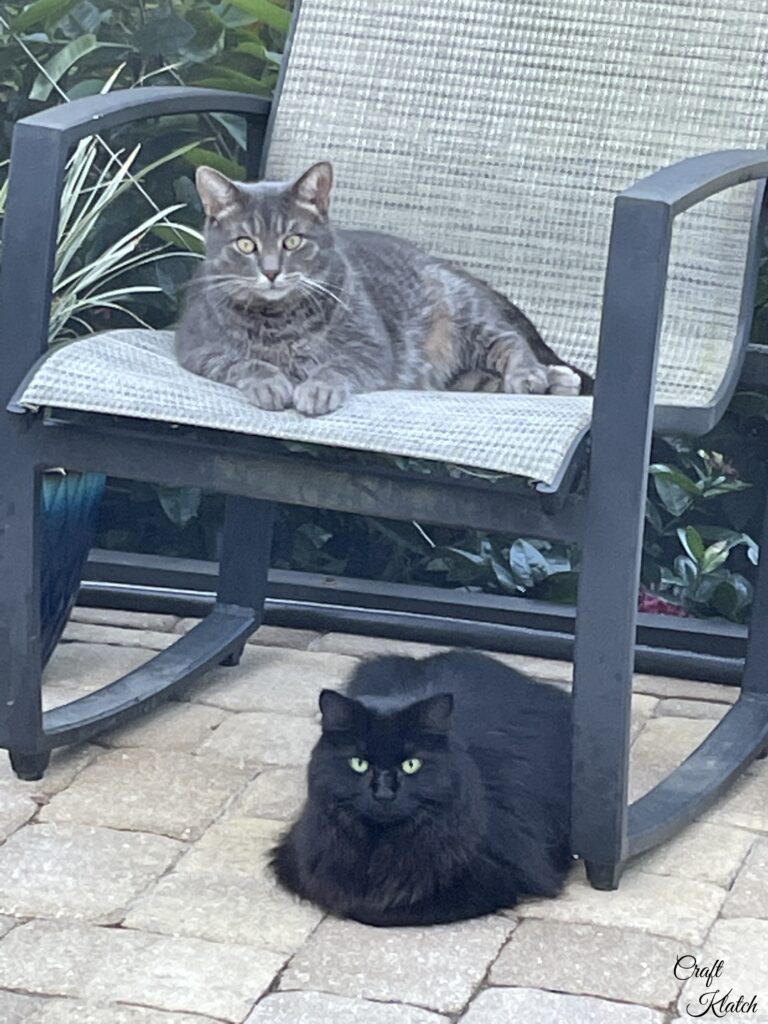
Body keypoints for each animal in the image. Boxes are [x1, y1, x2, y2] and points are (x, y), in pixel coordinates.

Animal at [176, 160, 593, 415]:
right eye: (246, 244)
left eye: (292, 241)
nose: (272, 272)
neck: (278, 319)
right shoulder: (198, 348)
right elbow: (246, 362)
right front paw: (270, 383)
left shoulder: (370, 348)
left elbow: (335, 367)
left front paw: (316, 389)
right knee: (483, 379)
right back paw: (556, 380)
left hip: (465, 315)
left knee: (510, 340)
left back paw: (536, 375)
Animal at [270, 655, 573, 929]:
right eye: (359, 763)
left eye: (411, 764)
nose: (383, 793)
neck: (379, 845)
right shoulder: (301, 862)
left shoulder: (499, 877)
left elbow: (372, 909)